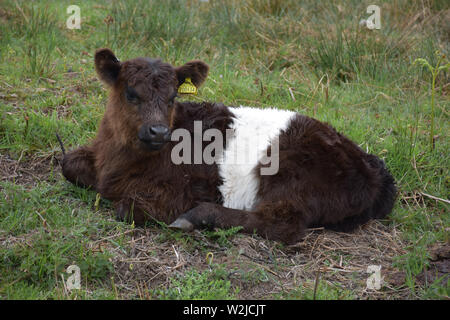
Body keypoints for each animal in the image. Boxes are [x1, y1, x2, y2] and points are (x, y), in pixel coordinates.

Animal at [60, 48, 398, 245]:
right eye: (131, 93)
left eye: (172, 97)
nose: (159, 130)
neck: (118, 161)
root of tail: (371, 164)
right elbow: (68, 163)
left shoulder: (180, 190)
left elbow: (127, 208)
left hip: (293, 174)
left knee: (280, 225)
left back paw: (197, 217)